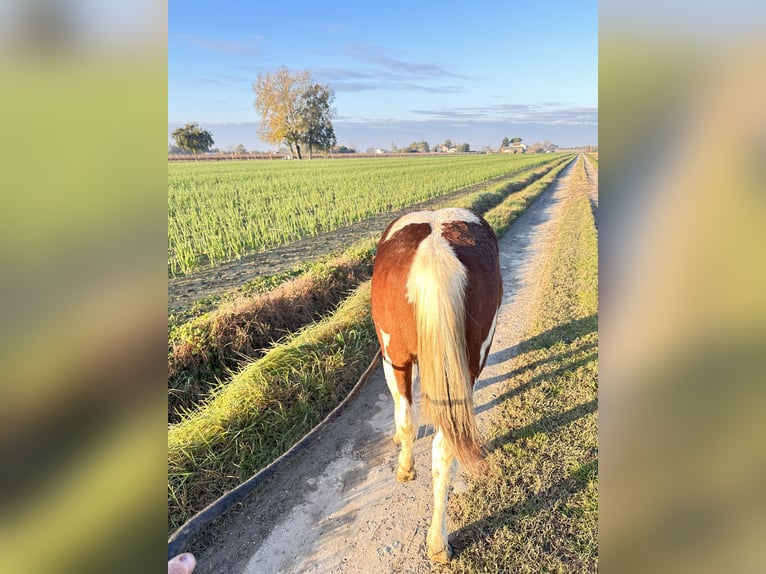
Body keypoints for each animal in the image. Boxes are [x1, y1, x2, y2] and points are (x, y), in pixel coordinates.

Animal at [372, 207, 504, 564]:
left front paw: (404, 464)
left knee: (425, 431)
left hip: (399, 354)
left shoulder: (392, 359)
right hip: (468, 360)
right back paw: (438, 541)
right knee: (446, 446)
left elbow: (404, 416)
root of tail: (435, 251)